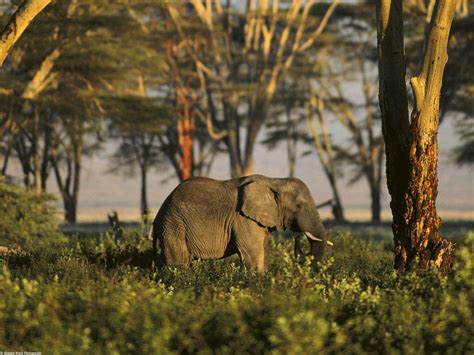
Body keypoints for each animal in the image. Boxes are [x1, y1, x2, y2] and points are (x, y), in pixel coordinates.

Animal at [154, 175, 332, 272]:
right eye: (299, 206)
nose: (297, 237)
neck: (275, 181)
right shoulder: (243, 219)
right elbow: (253, 255)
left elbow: (263, 252)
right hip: (174, 224)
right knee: (179, 263)